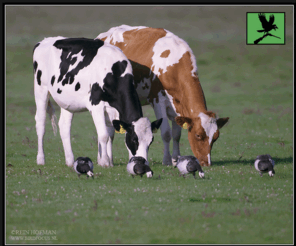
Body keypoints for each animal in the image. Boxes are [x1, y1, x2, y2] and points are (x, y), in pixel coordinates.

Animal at [33, 36, 163, 167]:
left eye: (151, 141)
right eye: (134, 140)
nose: (143, 162)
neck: (113, 72)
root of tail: (45, 40)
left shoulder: (111, 110)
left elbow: (110, 135)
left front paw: (108, 161)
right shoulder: (96, 105)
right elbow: (104, 135)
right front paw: (104, 162)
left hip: (67, 101)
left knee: (64, 126)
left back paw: (70, 161)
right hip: (41, 90)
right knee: (40, 123)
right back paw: (40, 159)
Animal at [96, 25, 229, 166]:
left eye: (215, 137)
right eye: (198, 135)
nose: (206, 163)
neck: (173, 65)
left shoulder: (178, 106)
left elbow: (176, 135)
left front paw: (176, 159)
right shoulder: (158, 100)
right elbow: (166, 133)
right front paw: (167, 160)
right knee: (109, 132)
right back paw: (106, 160)